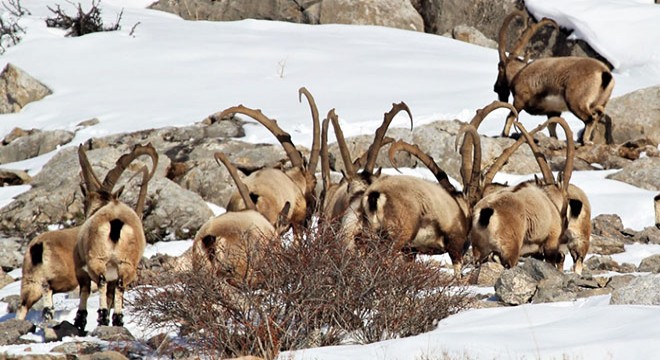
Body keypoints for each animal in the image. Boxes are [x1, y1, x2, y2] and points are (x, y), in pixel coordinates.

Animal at [470, 116, 572, 268]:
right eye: (567, 200)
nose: (565, 235)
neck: (549, 200)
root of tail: (486, 212)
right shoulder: (551, 242)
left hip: (478, 250)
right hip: (510, 250)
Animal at [498, 8, 616, 143]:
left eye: (499, 67)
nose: (497, 89)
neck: (520, 72)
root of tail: (604, 74)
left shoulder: (519, 99)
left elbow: (510, 117)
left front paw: (505, 134)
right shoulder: (554, 111)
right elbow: (552, 128)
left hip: (576, 101)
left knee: (590, 118)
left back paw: (585, 141)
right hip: (600, 102)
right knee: (599, 115)